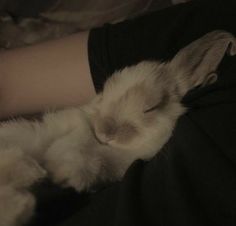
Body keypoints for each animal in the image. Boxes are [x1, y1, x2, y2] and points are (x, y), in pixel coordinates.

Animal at [0, 30, 235, 226]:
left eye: (151, 107)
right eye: (104, 93)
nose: (105, 132)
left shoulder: (115, 163)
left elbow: (82, 157)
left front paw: (63, 174)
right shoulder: (70, 126)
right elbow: (70, 139)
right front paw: (43, 172)